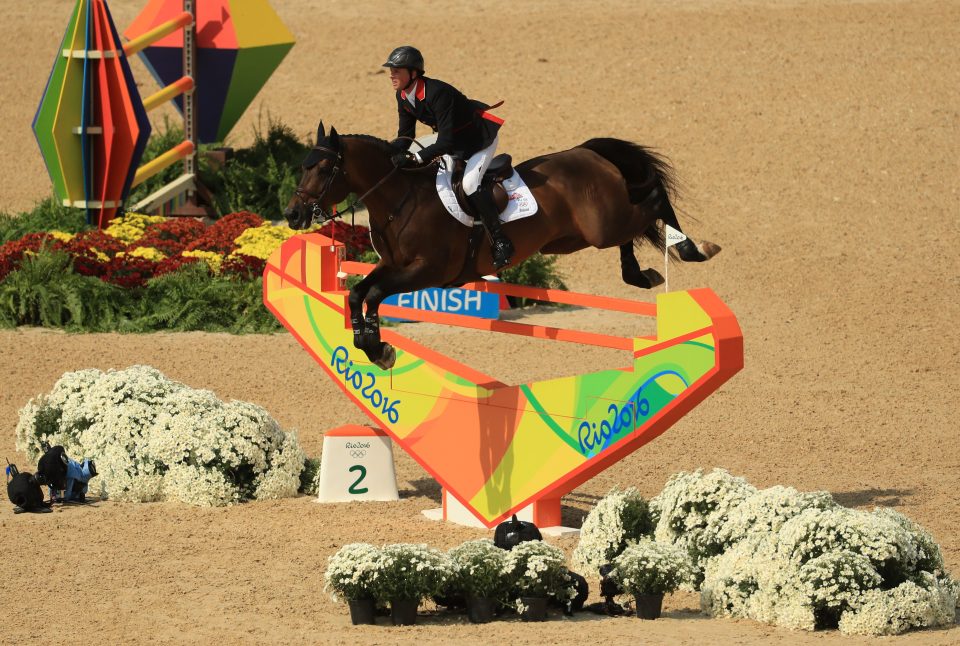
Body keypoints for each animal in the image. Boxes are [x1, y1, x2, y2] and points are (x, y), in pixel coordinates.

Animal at [284, 123, 720, 372]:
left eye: (322, 168)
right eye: (302, 165)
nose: (292, 214)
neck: (399, 199)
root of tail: (588, 152)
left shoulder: (426, 271)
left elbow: (372, 293)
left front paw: (378, 349)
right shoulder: (394, 266)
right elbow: (359, 292)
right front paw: (371, 344)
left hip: (603, 224)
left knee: (652, 202)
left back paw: (693, 248)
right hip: (575, 238)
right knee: (635, 224)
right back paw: (640, 274)